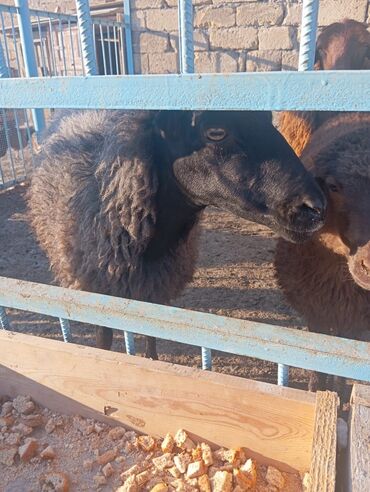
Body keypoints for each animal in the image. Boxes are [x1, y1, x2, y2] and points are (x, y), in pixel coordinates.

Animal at [28, 109, 326, 360]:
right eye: (216, 132)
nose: (315, 208)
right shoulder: (95, 292)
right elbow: (103, 340)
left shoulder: (156, 289)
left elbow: (151, 337)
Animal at [274, 113, 370, 394]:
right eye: (333, 186)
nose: (369, 264)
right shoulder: (314, 308)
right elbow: (318, 349)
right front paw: (316, 388)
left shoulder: (356, 318)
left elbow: (344, 352)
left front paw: (338, 391)